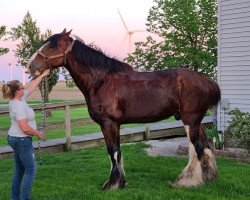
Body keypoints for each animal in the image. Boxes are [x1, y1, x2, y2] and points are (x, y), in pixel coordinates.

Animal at [27, 28, 221, 190]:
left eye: (53, 45)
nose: (30, 65)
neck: (101, 81)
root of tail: (205, 80)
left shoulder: (109, 123)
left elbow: (113, 151)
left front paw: (113, 184)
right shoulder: (110, 125)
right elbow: (115, 152)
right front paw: (120, 182)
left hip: (190, 121)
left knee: (196, 148)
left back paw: (188, 181)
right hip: (197, 121)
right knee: (206, 145)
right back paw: (208, 177)